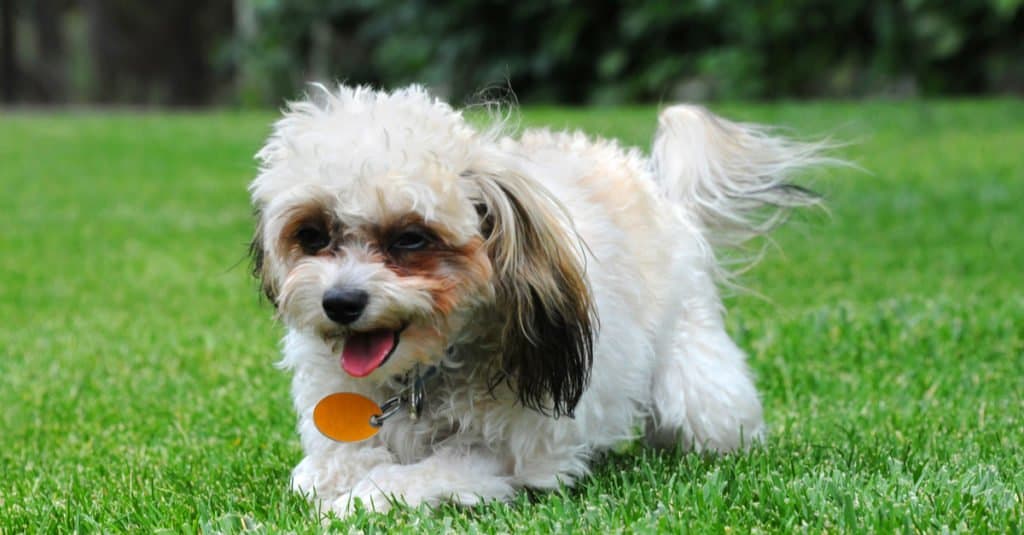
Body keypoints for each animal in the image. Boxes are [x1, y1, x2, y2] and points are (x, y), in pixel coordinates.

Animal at [247, 84, 823, 516]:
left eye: (411, 238)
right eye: (313, 234)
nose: (341, 302)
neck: (419, 378)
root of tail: (655, 184)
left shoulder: (513, 451)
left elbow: (420, 474)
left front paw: (360, 499)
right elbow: (326, 467)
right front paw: (339, 481)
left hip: (697, 382)